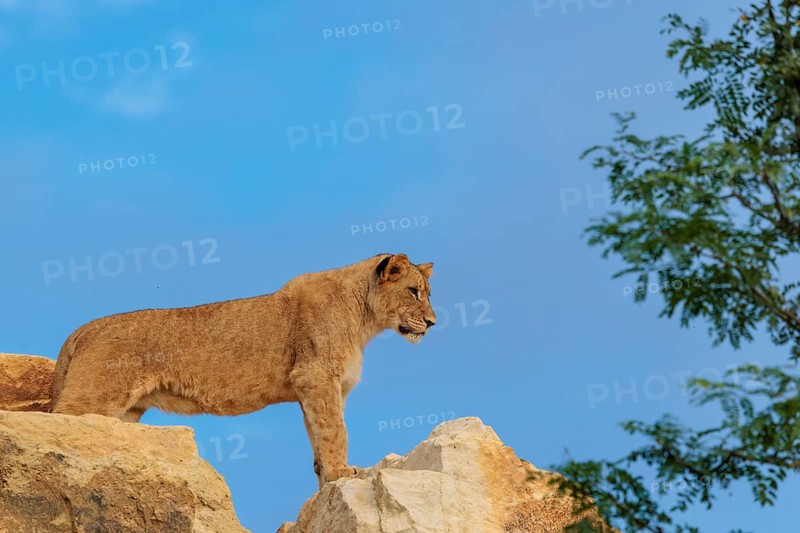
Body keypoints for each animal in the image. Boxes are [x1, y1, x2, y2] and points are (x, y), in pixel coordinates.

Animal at [50, 253, 436, 487]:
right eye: (414, 292)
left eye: (427, 293)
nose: (432, 322)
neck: (364, 318)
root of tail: (81, 330)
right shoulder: (317, 377)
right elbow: (335, 431)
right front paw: (344, 471)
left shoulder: (309, 390)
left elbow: (317, 439)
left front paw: (327, 482)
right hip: (94, 399)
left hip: (126, 413)